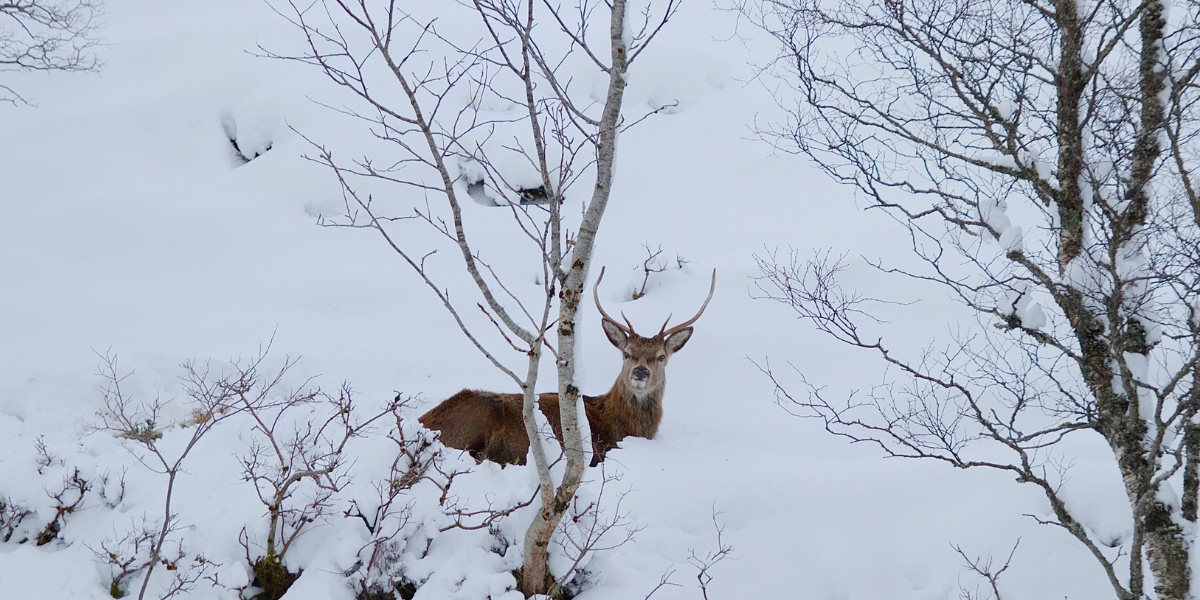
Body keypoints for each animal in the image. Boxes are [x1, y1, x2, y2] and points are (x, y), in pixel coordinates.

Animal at [418, 268, 716, 466]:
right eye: (627, 354)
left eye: (661, 356)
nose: (640, 372)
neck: (622, 427)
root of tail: (423, 422)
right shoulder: (597, 451)